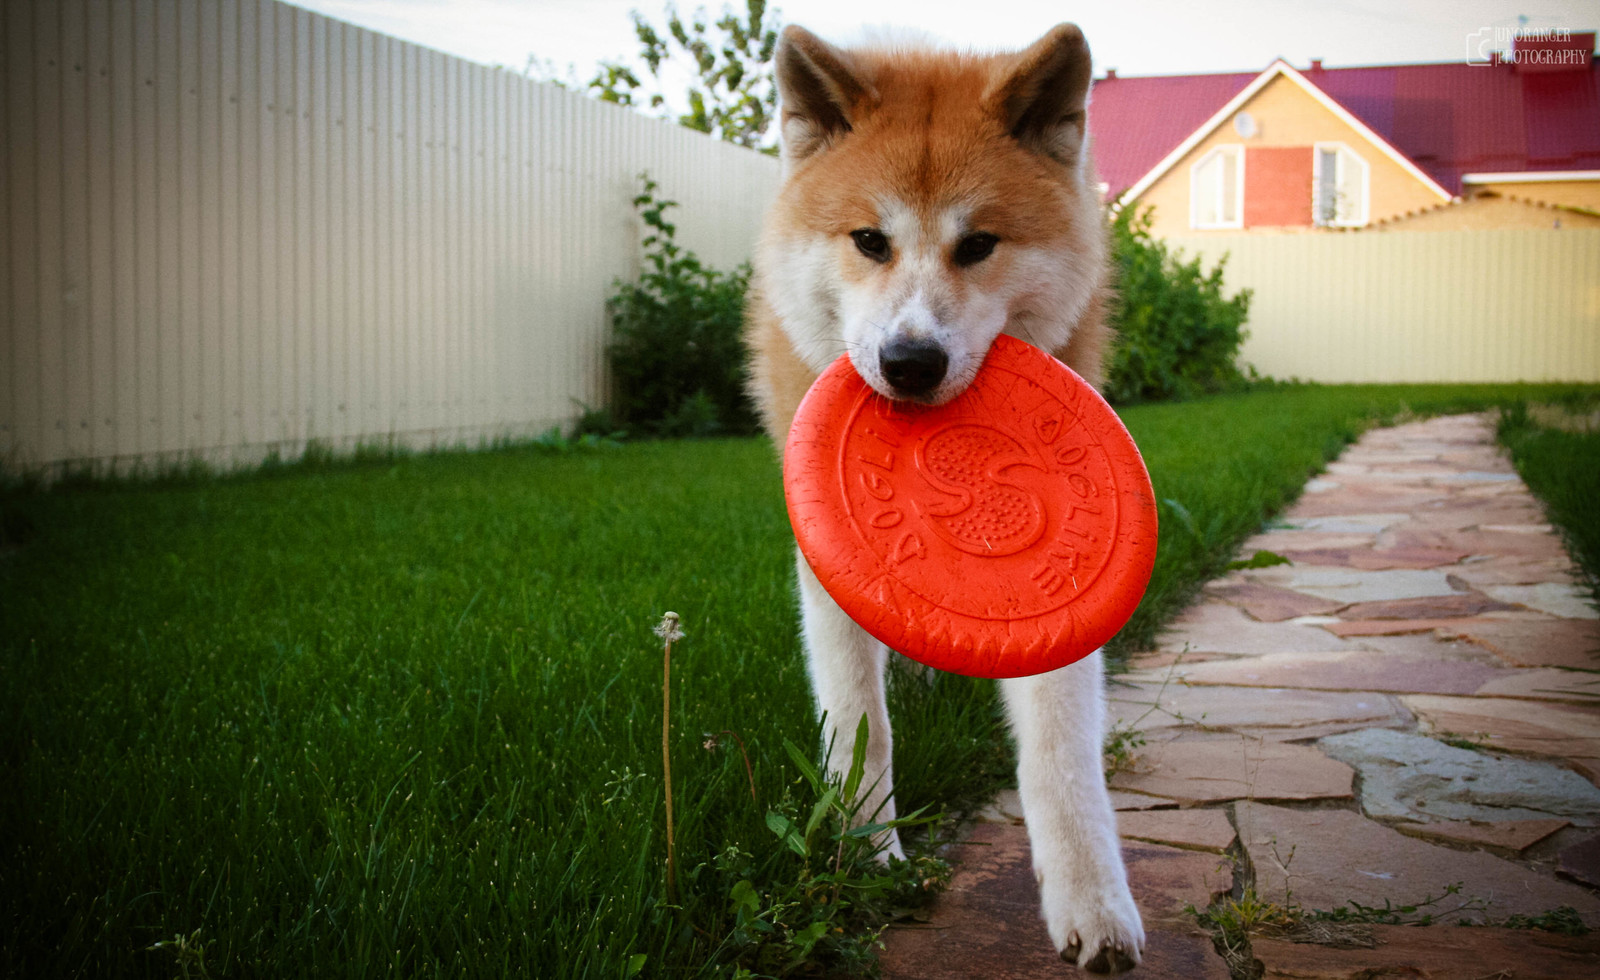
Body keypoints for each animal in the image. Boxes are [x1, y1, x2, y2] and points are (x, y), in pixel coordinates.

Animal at [742, 23, 1145, 973]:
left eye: (978, 245)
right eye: (868, 240)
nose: (910, 362)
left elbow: (1061, 749)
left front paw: (1093, 901)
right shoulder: (827, 557)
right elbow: (861, 721)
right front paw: (868, 855)